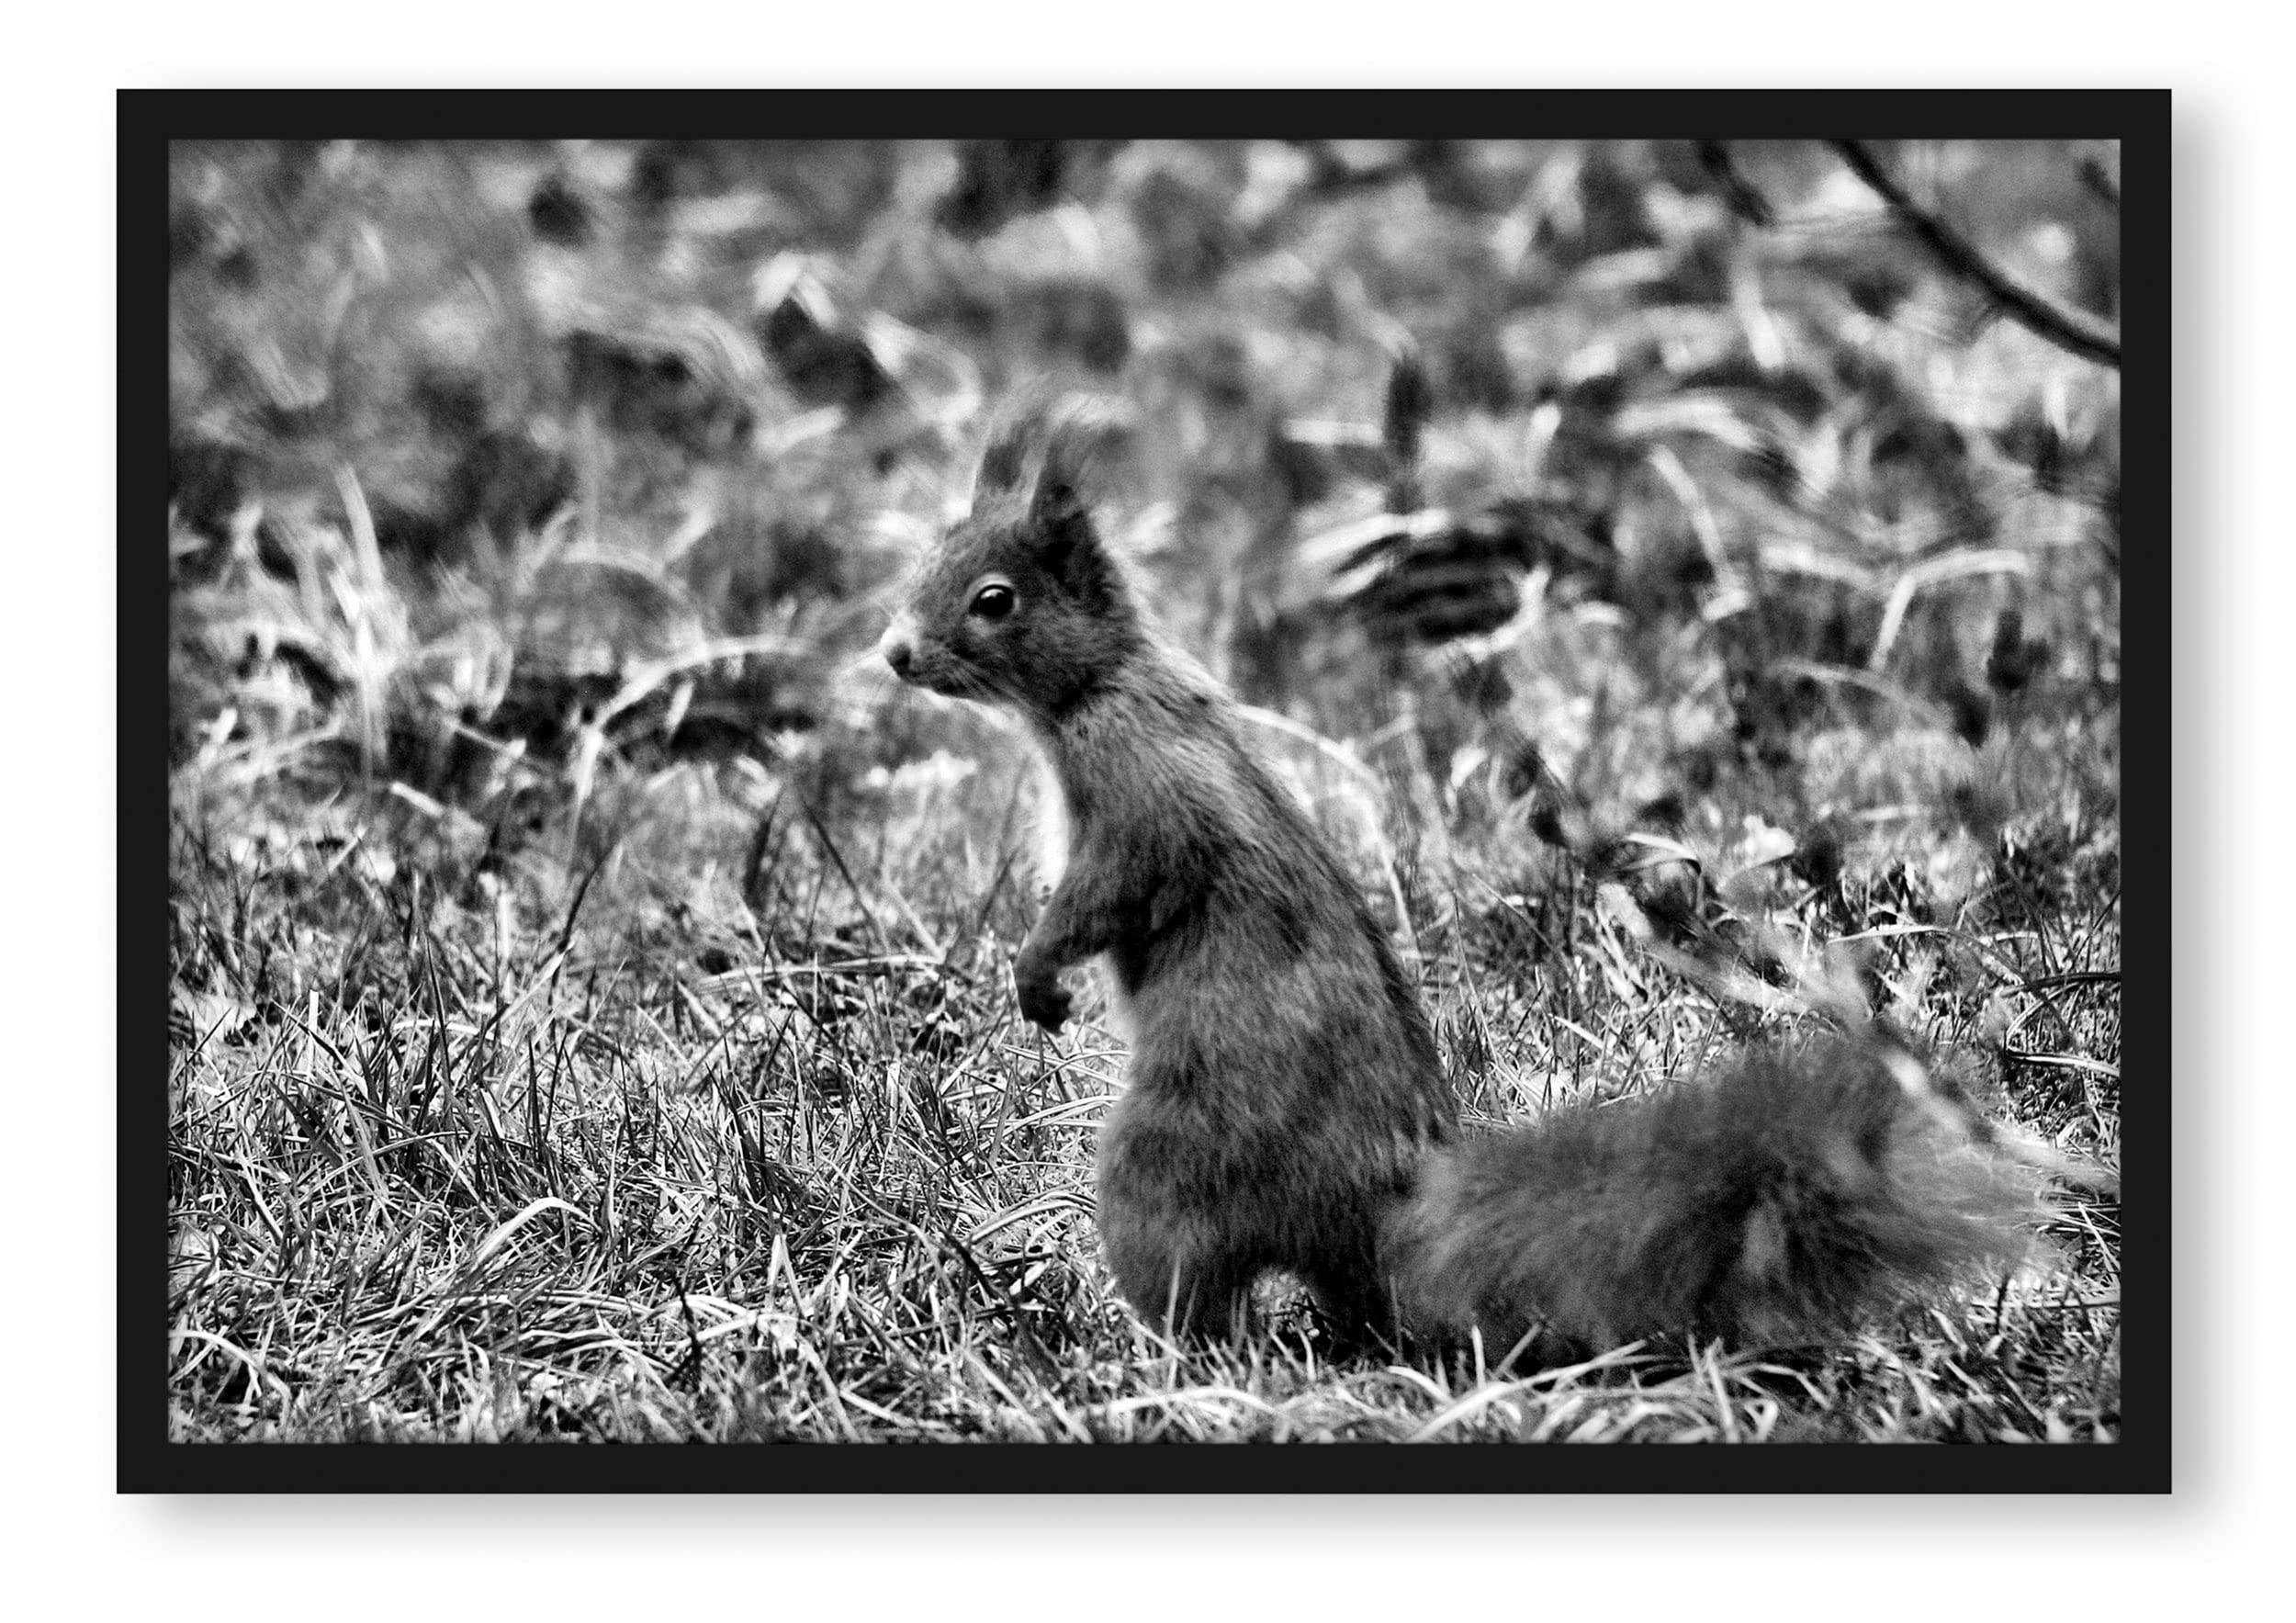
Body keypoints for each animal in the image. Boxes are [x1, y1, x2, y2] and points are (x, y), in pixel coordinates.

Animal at [876, 393, 2051, 1356]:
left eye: (994, 599)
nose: (893, 654)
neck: (1097, 689)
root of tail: (1379, 1202)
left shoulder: (1141, 801)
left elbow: (1108, 891)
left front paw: (1035, 976)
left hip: (1169, 1171)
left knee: (1197, 1292)